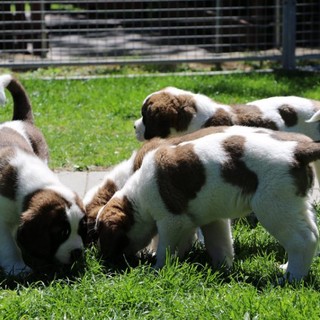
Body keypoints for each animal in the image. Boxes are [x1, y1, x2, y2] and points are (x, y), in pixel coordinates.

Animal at [0, 74, 87, 274]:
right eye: (62, 233)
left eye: (81, 229)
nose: (77, 253)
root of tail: (19, 121)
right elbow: (8, 245)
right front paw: (17, 268)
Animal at [95, 126, 320, 282]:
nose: (103, 262)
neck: (137, 198)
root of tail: (298, 149)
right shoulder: (212, 219)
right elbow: (219, 244)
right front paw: (223, 269)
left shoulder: (171, 220)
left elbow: (165, 247)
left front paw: (157, 268)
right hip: (296, 204)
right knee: (312, 234)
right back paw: (287, 268)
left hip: (274, 205)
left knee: (303, 239)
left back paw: (291, 278)